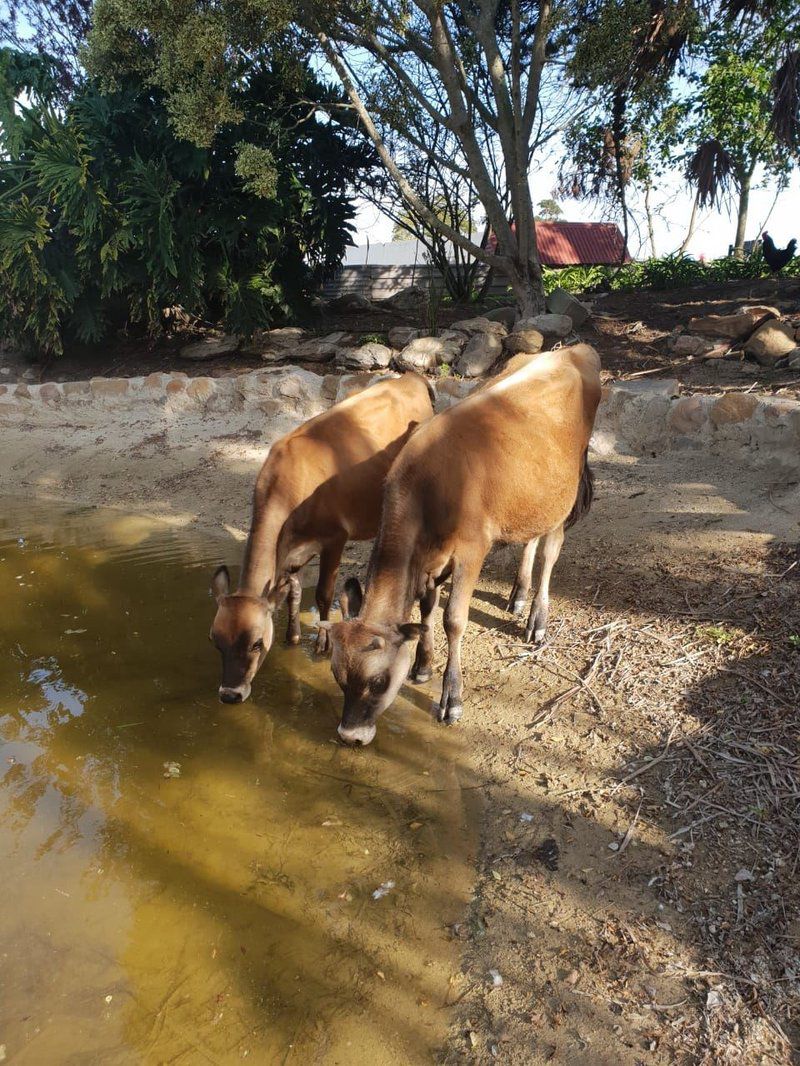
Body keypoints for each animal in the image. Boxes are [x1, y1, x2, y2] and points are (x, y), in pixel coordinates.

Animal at [206, 370, 433, 703]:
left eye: (256, 643)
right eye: (216, 640)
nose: (230, 694)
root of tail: (411, 376)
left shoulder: (335, 537)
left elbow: (324, 594)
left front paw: (323, 643)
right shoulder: (291, 552)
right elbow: (292, 591)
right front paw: (293, 636)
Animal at [320, 345, 601, 746]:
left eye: (378, 681)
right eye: (338, 676)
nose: (350, 736)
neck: (427, 484)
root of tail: (572, 350)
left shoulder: (471, 549)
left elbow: (452, 619)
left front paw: (450, 698)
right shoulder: (430, 558)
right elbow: (425, 608)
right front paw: (423, 665)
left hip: (567, 487)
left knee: (551, 548)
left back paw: (538, 618)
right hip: (532, 493)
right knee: (530, 535)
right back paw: (518, 594)